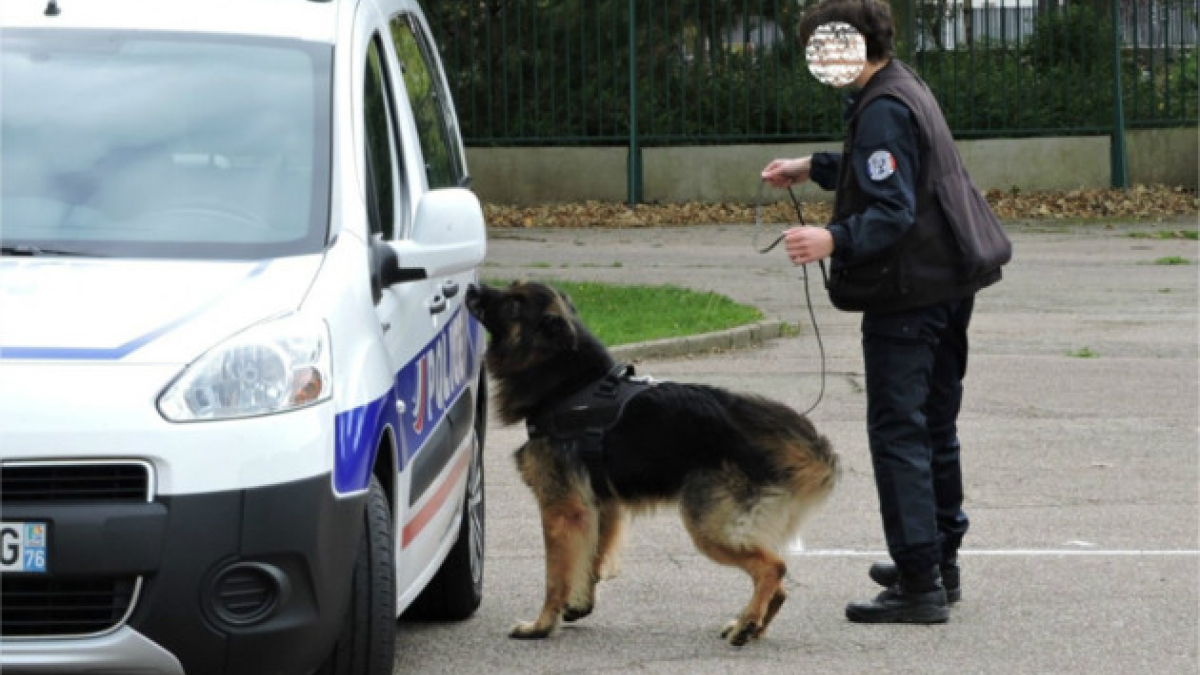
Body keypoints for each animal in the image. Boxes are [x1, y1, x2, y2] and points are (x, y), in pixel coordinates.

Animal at [463, 281, 840, 643]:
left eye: (513, 303)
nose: (472, 289)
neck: (571, 386)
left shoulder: (561, 509)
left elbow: (556, 576)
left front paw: (541, 626)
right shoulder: (600, 504)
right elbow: (590, 558)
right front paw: (579, 604)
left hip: (708, 527)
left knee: (774, 567)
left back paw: (748, 623)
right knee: (779, 587)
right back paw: (752, 625)